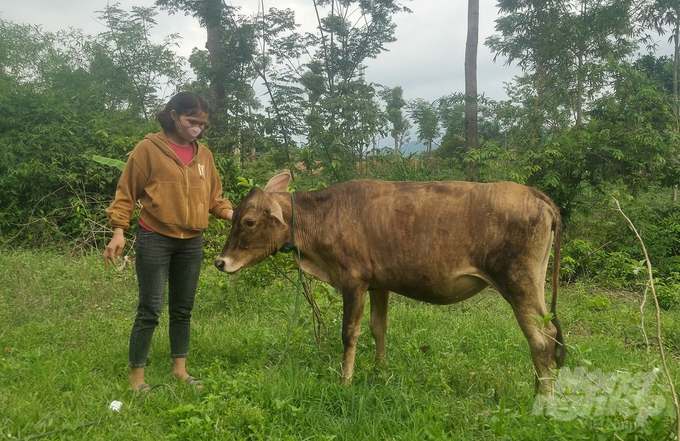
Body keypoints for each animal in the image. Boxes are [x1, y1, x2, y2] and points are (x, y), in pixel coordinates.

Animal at [215, 172, 564, 392]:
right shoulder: (378, 283)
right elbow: (378, 327)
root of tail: (537, 195)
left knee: (541, 339)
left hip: (518, 282)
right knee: (551, 333)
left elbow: (350, 333)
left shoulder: (353, 279)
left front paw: (345, 380)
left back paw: (543, 398)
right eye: (235, 217)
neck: (323, 217)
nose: (221, 262)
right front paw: (380, 371)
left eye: (249, 222)